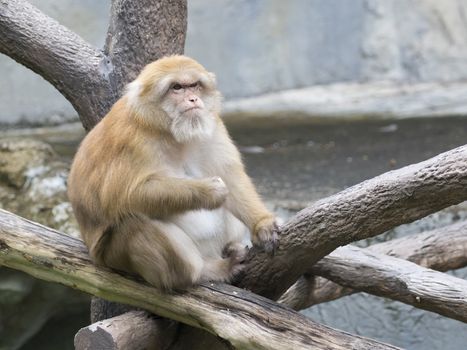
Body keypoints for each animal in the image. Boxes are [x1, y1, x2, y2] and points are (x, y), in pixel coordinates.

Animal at [66, 54, 278, 290]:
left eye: (194, 85)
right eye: (176, 87)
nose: (193, 99)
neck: (169, 131)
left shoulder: (212, 124)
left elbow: (230, 176)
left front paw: (262, 224)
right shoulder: (131, 140)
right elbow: (121, 196)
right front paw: (208, 190)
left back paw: (230, 248)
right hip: (114, 256)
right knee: (133, 221)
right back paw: (206, 272)